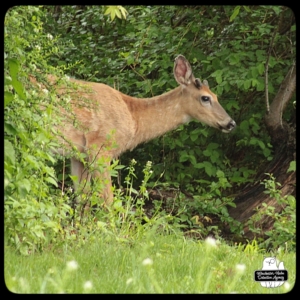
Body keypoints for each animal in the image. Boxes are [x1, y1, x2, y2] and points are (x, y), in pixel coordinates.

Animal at [37, 55, 236, 206]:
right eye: (205, 98)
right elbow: (107, 200)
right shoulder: (99, 147)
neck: (133, 118)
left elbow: (82, 198)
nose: (231, 123)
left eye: (217, 96)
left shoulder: (79, 153)